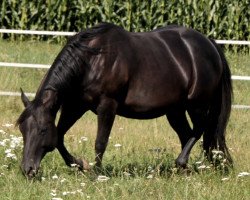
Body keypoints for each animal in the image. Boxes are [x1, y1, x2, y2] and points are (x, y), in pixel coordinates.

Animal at [17, 22, 232, 177]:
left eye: (42, 130)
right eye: (22, 129)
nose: (27, 170)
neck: (92, 60)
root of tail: (209, 43)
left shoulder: (107, 105)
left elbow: (100, 142)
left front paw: (96, 174)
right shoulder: (76, 106)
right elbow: (59, 137)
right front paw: (79, 165)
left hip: (197, 105)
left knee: (200, 128)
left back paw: (181, 163)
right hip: (175, 110)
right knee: (187, 134)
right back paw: (184, 170)